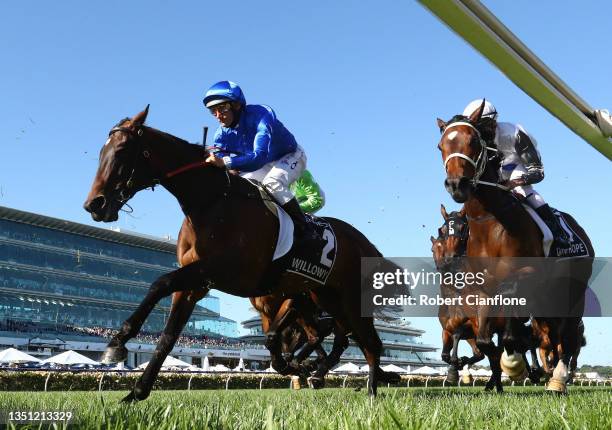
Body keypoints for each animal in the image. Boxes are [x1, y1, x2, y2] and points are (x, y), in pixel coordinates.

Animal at [83, 106, 394, 400]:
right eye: (100, 152)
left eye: (122, 150)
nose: (94, 204)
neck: (210, 202)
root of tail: (364, 242)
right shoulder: (197, 284)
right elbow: (168, 337)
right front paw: (134, 393)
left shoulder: (224, 271)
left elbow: (161, 282)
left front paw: (116, 344)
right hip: (327, 296)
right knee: (348, 338)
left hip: (349, 298)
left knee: (369, 343)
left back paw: (369, 391)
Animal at [438, 101, 596, 394]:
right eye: (441, 145)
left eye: (473, 141)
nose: (456, 185)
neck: (490, 222)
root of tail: (579, 229)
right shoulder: (481, 290)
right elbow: (486, 341)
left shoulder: (526, 274)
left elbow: (510, 329)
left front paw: (516, 366)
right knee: (553, 336)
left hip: (572, 290)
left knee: (566, 337)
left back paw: (558, 379)